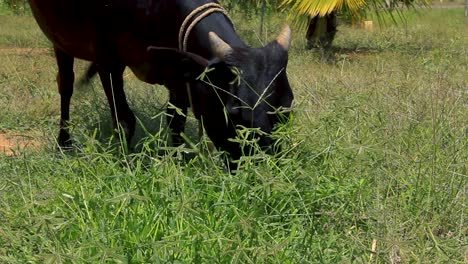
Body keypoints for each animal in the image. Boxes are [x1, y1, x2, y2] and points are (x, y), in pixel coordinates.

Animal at [28, 0, 292, 165]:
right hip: (60, 41)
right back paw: (64, 143)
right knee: (66, 86)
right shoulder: (108, 60)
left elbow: (176, 122)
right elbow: (124, 120)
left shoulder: (178, 72)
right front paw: (126, 163)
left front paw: (175, 161)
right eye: (233, 113)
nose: (265, 168)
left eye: (287, 108)